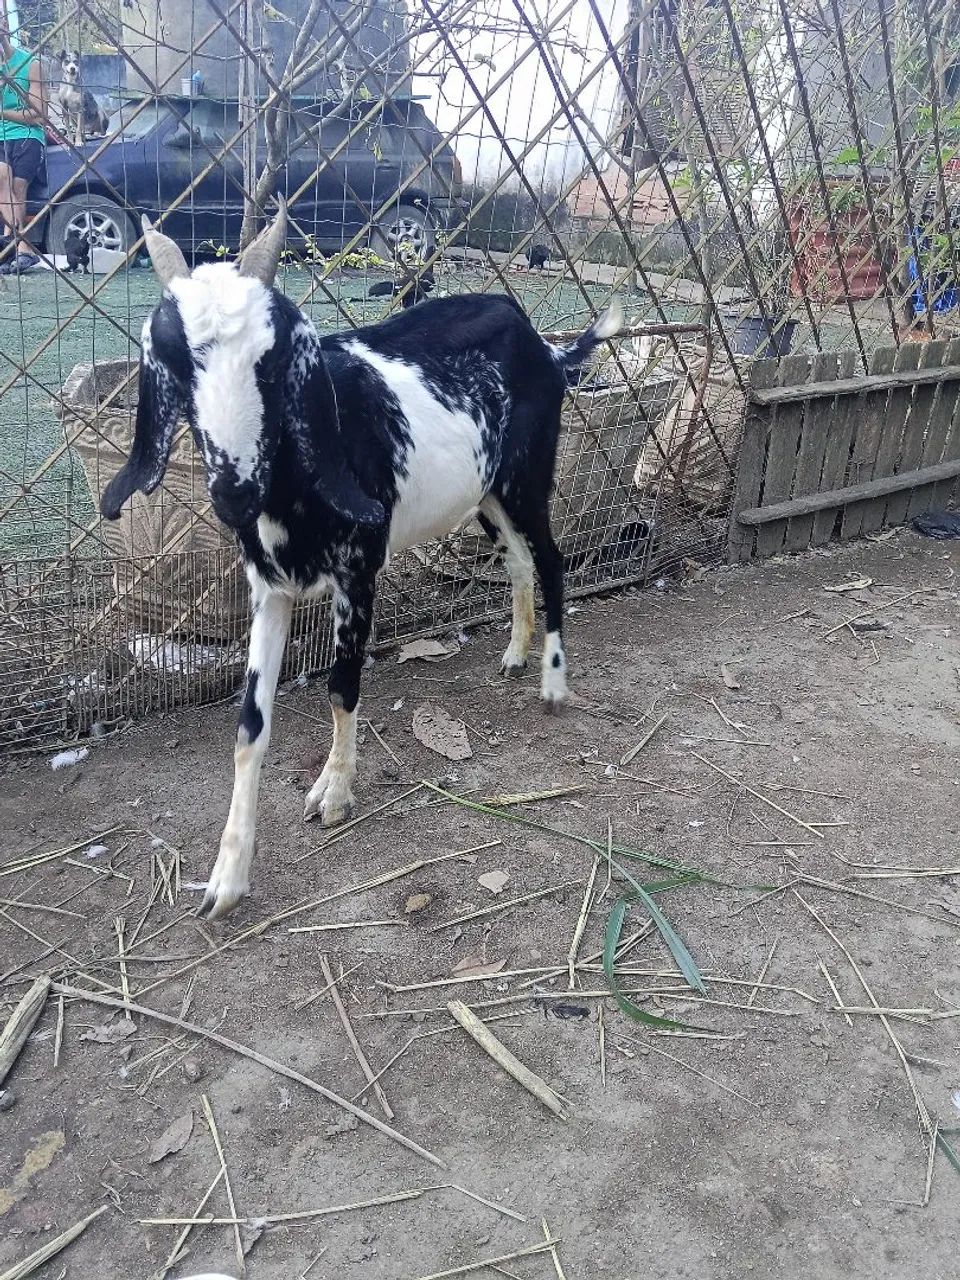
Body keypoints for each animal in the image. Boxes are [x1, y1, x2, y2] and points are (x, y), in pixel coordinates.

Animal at [100, 200, 622, 919]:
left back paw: (552, 683)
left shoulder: (359, 571)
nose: (234, 490)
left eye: (272, 363)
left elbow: (342, 685)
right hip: (484, 492)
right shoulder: (269, 588)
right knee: (517, 562)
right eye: (176, 365)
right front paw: (227, 879)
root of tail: (544, 343)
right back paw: (515, 653)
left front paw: (334, 794)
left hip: (526, 477)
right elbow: (249, 726)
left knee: (550, 560)